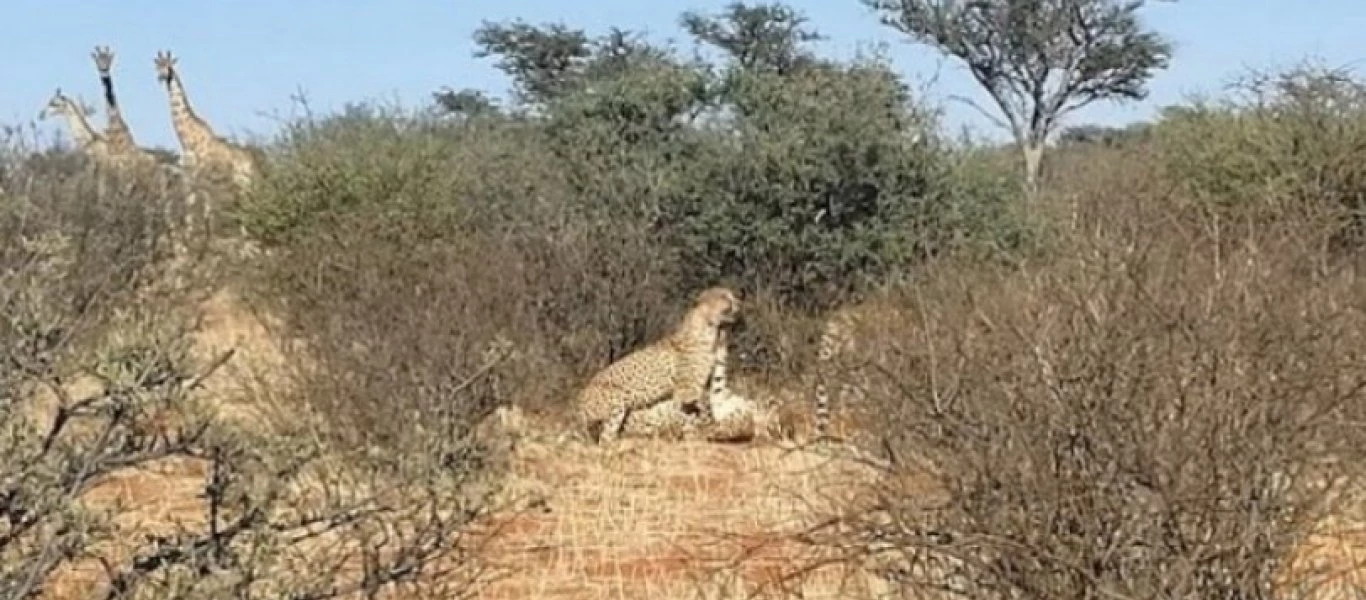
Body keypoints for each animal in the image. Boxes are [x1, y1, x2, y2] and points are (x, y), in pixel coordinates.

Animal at [581, 284, 743, 442]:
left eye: (731, 295)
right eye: (724, 297)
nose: (739, 302)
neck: (711, 329)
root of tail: (579, 402)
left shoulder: (705, 385)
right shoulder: (687, 390)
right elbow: (692, 411)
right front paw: (695, 433)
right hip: (617, 403)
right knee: (605, 437)